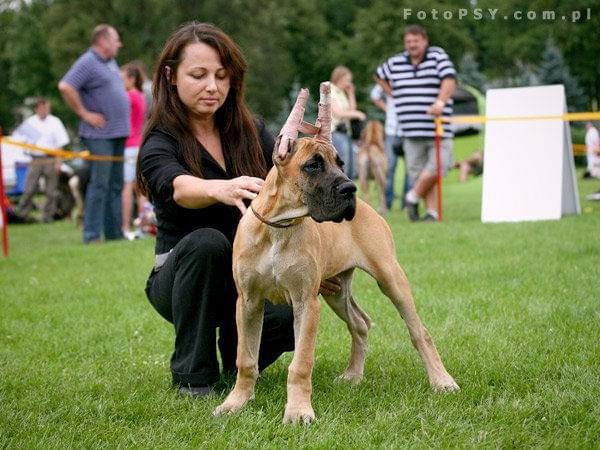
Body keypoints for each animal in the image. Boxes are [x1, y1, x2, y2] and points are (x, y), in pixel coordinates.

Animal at [212, 84, 460, 426]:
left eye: (341, 163)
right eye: (313, 165)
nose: (350, 189)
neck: (279, 226)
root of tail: (370, 209)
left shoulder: (306, 302)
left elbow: (301, 363)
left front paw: (298, 411)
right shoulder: (248, 302)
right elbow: (246, 359)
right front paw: (236, 402)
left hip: (390, 278)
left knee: (419, 331)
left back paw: (441, 380)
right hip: (336, 290)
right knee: (360, 323)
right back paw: (353, 375)